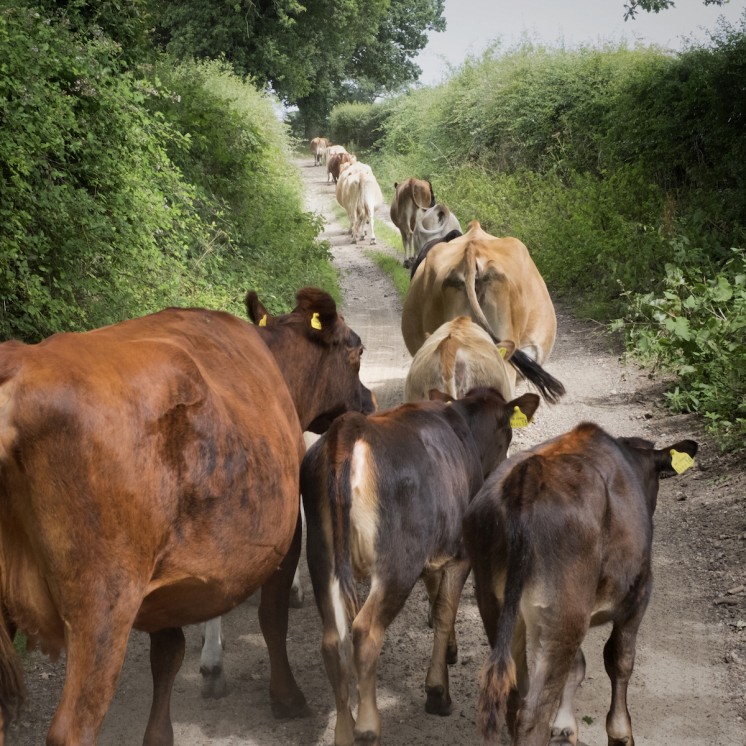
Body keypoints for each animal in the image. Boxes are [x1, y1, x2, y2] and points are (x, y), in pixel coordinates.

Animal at [0, 288, 372, 740]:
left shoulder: (168, 571)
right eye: (357, 351)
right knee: (72, 728)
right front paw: (286, 697)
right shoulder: (285, 539)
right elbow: (272, 617)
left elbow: (168, 653)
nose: (369, 401)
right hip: (102, 604)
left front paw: (162, 732)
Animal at [300, 384, 536, 744]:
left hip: (320, 556)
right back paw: (367, 726)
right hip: (397, 564)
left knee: (331, 639)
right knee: (365, 632)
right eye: (507, 431)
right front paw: (438, 692)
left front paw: (450, 650)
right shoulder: (460, 552)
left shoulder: (434, 548)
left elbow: (436, 595)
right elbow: (444, 611)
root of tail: (349, 428)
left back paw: (343, 731)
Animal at [460, 422, 696, 740]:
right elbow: (620, 660)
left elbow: (578, 666)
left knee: (512, 697)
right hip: (565, 613)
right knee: (532, 714)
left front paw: (564, 729)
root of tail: (526, 478)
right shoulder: (639, 593)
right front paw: (619, 734)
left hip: (495, 603)